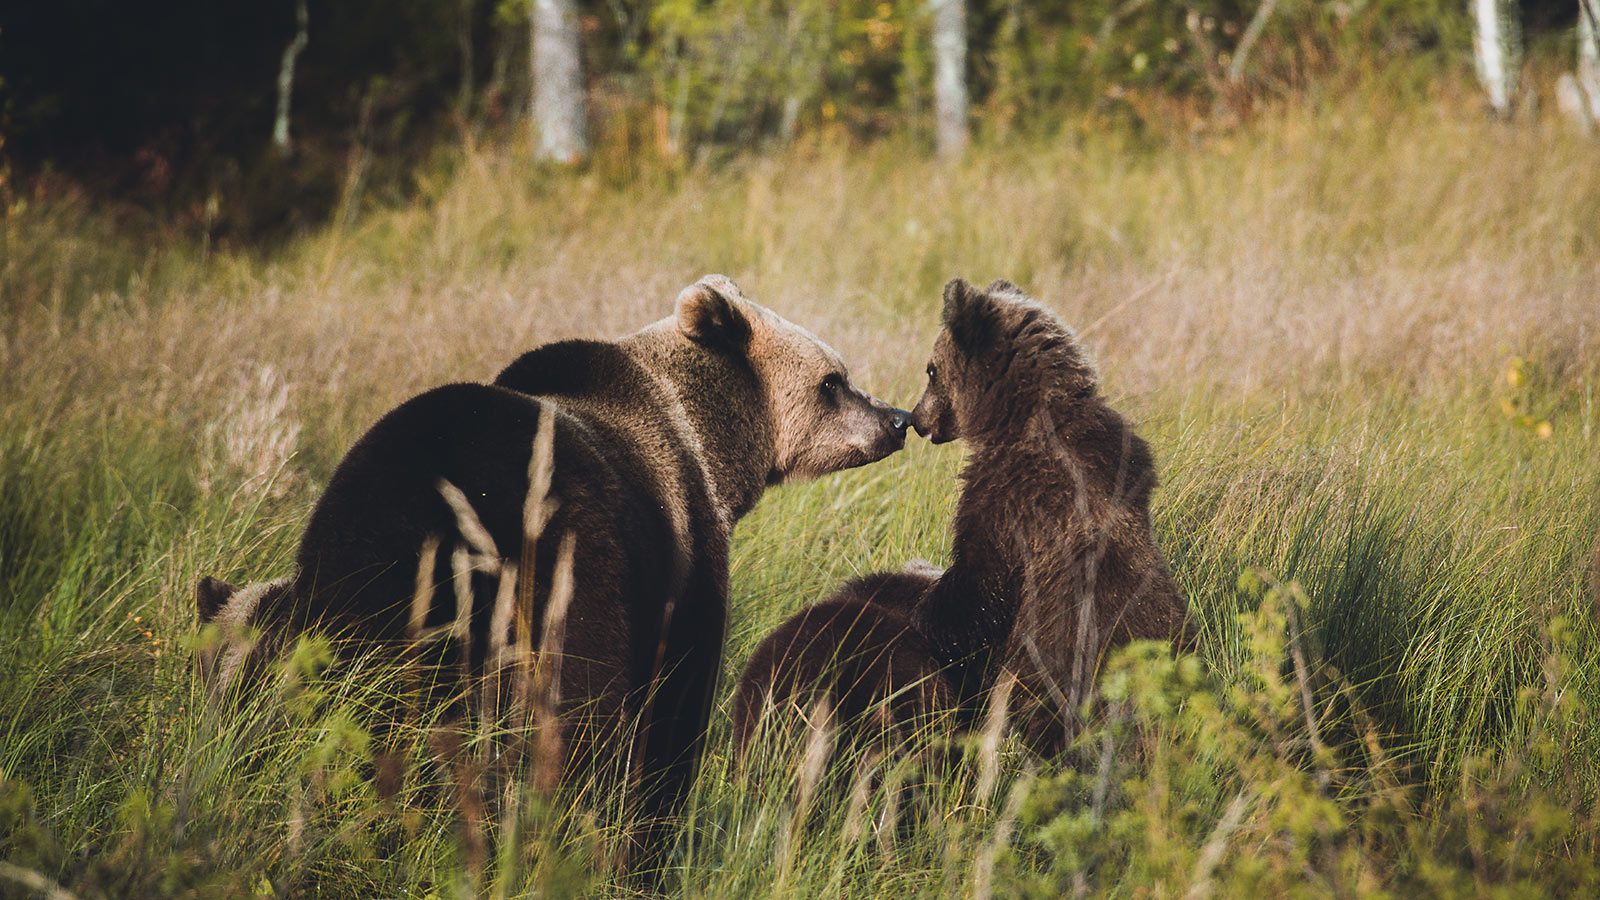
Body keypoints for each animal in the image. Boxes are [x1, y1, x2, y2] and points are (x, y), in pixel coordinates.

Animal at [196, 273, 915, 871]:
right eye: (834, 381)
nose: (897, 419)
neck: (711, 445)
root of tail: (446, 524)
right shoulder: (678, 564)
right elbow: (674, 711)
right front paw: (651, 840)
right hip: (562, 576)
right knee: (578, 736)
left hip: (357, 587)